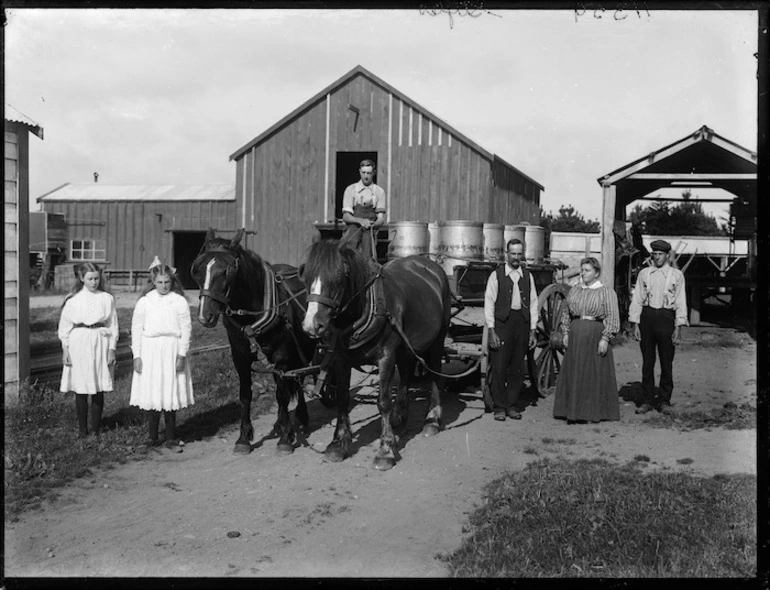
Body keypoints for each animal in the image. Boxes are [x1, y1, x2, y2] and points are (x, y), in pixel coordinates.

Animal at [190, 229, 316, 456]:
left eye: (227, 271)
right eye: (197, 269)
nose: (205, 316)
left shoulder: (282, 355)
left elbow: (282, 395)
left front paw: (285, 439)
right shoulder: (239, 356)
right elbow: (245, 395)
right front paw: (244, 438)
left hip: (305, 347)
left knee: (300, 375)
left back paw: (301, 416)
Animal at [298, 239, 450, 472]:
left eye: (338, 278)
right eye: (306, 278)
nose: (311, 326)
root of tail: (431, 266)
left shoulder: (386, 357)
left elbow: (383, 402)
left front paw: (385, 450)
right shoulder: (340, 359)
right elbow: (343, 399)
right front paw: (339, 443)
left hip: (437, 339)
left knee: (435, 375)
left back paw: (432, 420)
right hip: (406, 346)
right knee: (406, 373)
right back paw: (399, 416)